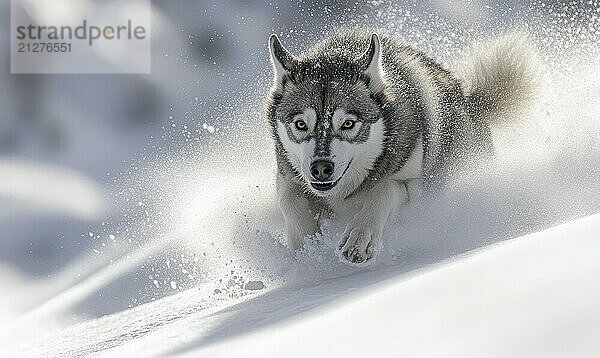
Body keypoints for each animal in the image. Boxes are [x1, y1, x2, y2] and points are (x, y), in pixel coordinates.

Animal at [264, 29, 536, 262]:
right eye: (301, 124)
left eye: (348, 123)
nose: (321, 168)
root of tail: (472, 103)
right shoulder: (290, 174)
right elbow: (289, 199)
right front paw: (304, 243)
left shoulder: (415, 189)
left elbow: (384, 190)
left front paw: (360, 237)